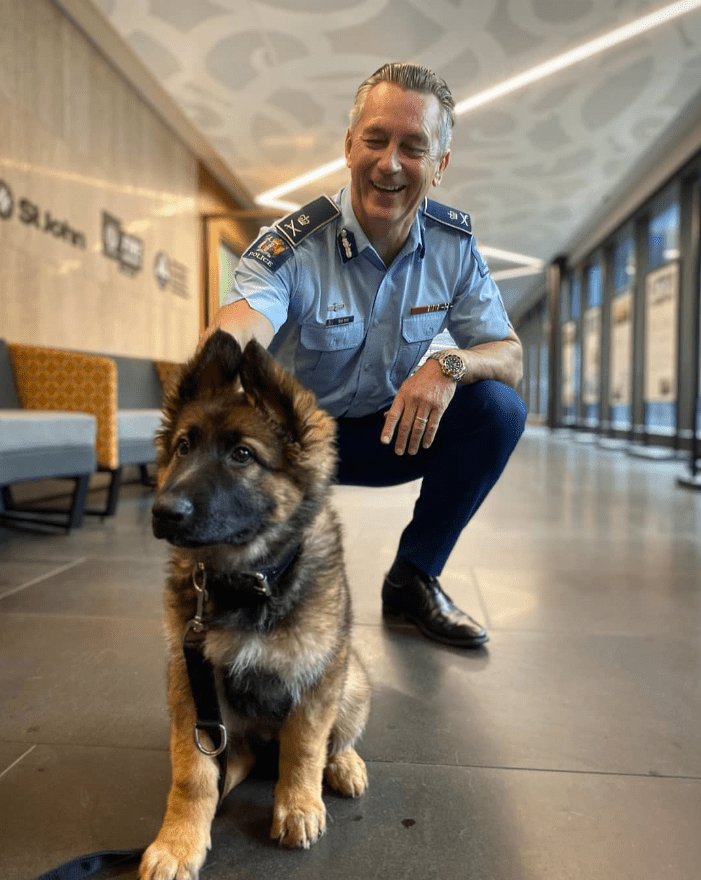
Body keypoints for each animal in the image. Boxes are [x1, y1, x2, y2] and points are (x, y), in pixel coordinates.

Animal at [142, 332, 372, 880]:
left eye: (243, 454)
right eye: (183, 446)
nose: (162, 512)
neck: (249, 581)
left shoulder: (316, 677)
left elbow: (305, 747)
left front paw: (299, 806)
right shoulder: (192, 683)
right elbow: (192, 772)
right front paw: (178, 841)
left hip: (352, 677)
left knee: (336, 738)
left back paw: (344, 764)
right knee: (232, 760)